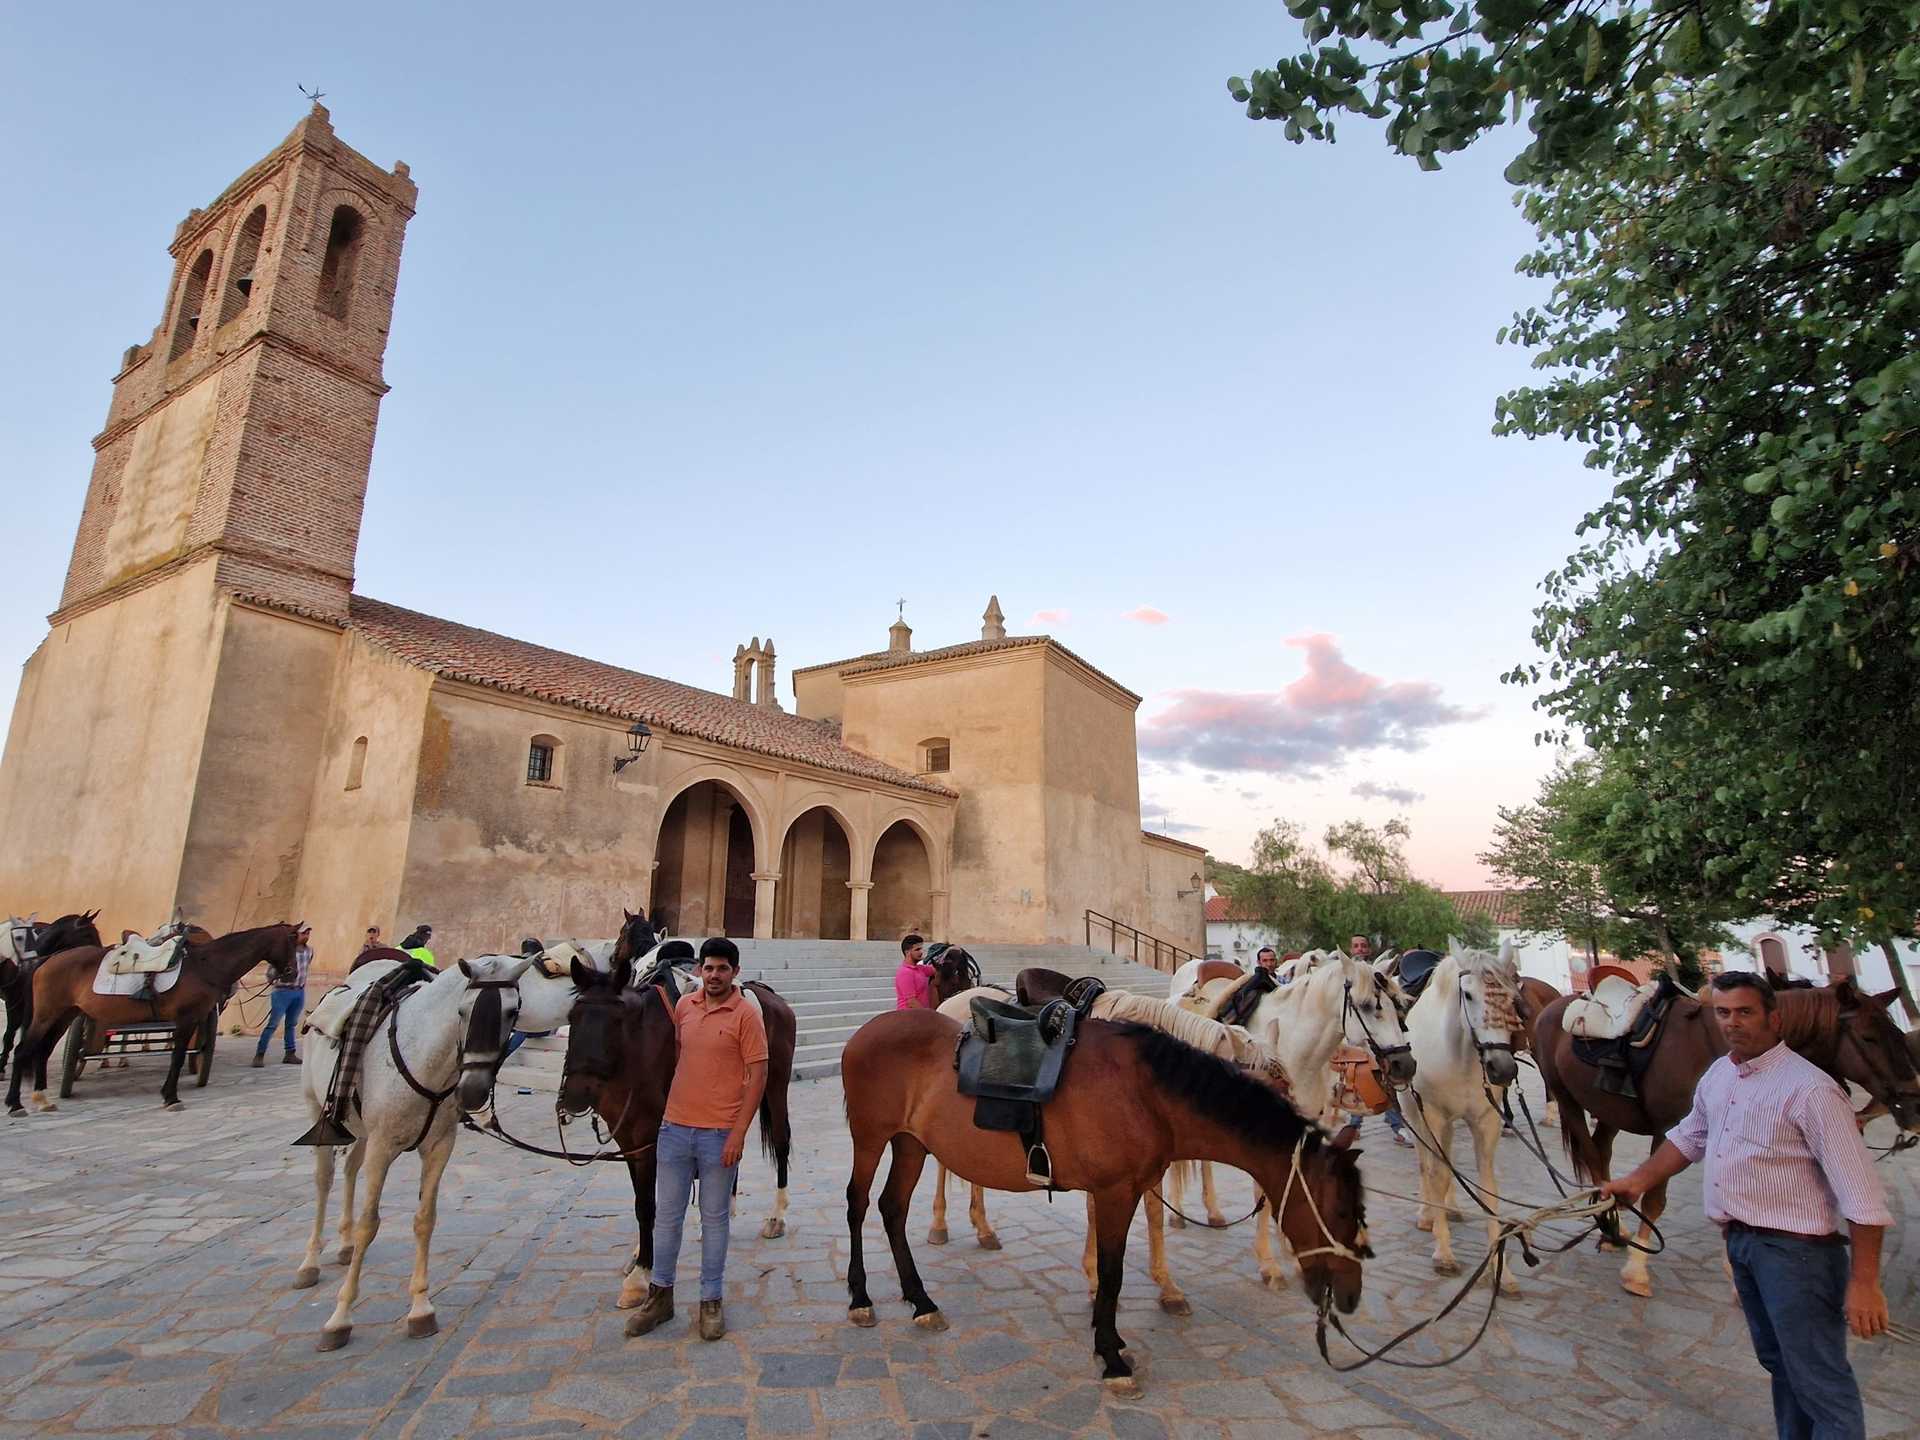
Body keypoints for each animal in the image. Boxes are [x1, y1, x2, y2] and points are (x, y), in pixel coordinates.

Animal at [7, 925, 301, 1113]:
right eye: (292, 942)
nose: (291, 973)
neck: (206, 965)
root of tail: (49, 959)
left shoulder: (193, 1018)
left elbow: (180, 1054)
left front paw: (168, 1094)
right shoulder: (187, 1016)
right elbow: (178, 1056)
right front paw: (171, 1097)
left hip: (65, 1014)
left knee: (43, 1051)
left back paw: (42, 1099)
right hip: (47, 1013)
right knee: (23, 1050)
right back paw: (15, 1104)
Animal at [288, 960, 564, 1351]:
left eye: (513, 1011)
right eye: (462, 1011)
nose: (473, 1090)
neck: (429, 1060)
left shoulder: (438, 1144)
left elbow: (425, 1219)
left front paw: (420, 1309)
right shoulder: (383, 1143)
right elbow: (370, 1223)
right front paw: (340, 1317)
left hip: (361, 1128)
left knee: (350, 1169)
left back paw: (343, 1245)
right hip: (317, 1107)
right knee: (324, 1179)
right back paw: (310, 1263)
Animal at [840, 1006, 1367, 1390]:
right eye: (1341, 1210)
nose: (1351, 1295)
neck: (1148, 1094)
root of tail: (865, 1032)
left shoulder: (1126, 1191)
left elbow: (1113, 1268)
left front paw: (1110, 1340)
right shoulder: (1115, 1192)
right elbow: (1112, 1274)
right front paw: (1112, 1358)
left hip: (912, 1143)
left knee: (893, 1209)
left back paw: (921, 1302)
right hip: (870, 1139)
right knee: (859, 1205)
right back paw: (861, 1299)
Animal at [1405, 948, 1520, 1297]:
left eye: (1512, 997)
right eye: (1467, 994)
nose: (1502, 1067)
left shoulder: (1486, 1122)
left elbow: (1488, 1187)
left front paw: (1501, 1270)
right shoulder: (1432, 1114)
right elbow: (1436, 1174)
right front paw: (1443, 1252)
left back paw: (1451, 1207)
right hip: (1414, 1111)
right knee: (1425, 1162)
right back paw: (1427, 1214)